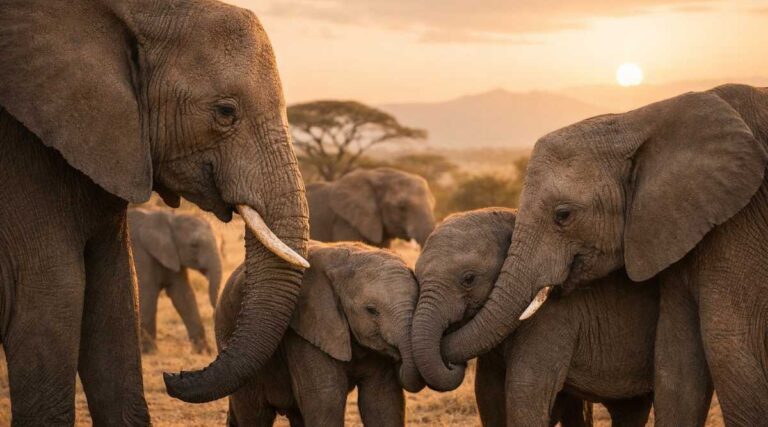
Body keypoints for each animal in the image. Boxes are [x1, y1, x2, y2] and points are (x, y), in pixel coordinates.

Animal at [128, 208, 222, 354]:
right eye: (194, 245)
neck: (170, 219)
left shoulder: (173, 255)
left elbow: (183, 296)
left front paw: (203, 352)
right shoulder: (141, 256)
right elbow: (148, 295)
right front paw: (149, 352)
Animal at [217, 241, 424, 426]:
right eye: (371, 310)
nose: (399, 359)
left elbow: (382, 401)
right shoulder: (308, 330)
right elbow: (326, 398)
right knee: (254, 414)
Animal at [412, 208, 658, 426]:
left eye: (469, 279)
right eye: (416, 277)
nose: (452, 364)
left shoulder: (553, 315)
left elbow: (526, 389)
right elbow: (487, 393)